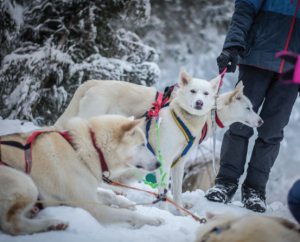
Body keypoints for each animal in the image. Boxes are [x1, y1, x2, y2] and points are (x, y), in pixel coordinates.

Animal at [0, 115, 163, 234]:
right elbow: (127, 214)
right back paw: (50, 223)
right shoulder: (91, 207)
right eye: (142, 145)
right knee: (11, 225)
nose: (159, 164)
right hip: (26, 183)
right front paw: (150, 220)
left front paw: (127, 203)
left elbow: (109, 194)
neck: (93, 147)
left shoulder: (89, 191)